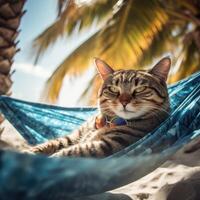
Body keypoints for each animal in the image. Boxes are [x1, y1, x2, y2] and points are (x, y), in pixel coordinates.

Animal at [25, 56, 171, 158]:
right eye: (113, 89)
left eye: (140, 89)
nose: (124, 101)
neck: (107, 122)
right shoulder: (74, 137)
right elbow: (52, 144)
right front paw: (29, 152)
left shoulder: (107, 145)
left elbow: (68, 153)